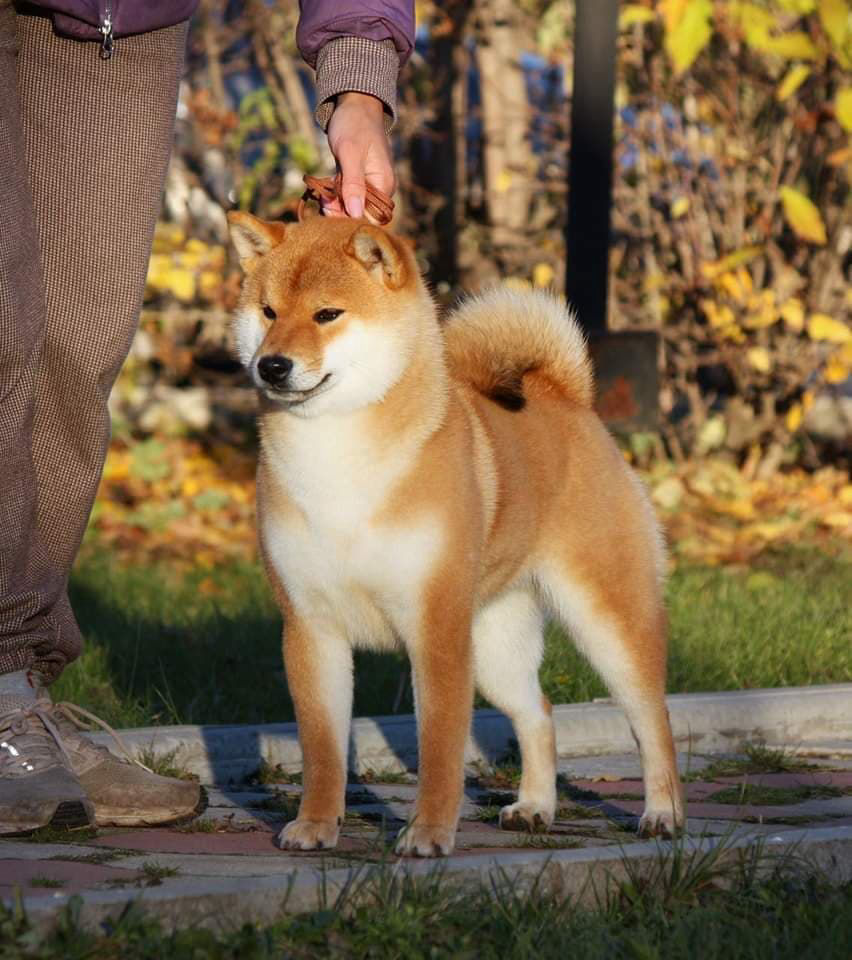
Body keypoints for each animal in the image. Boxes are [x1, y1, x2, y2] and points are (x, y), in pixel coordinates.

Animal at [227, 212, 685, 857]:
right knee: (537, 713)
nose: (271, 364)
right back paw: (535, 807)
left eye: (327, 314)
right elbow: (322, 749)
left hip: (607, 621)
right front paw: (315, 824)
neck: (338, 458)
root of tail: (566, 398)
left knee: (652, 721)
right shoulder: (310, 627)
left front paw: (428, 833)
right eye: (268, 311)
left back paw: (663, 814)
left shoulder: (436, 628)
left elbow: (441, 749)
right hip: (495, 645)